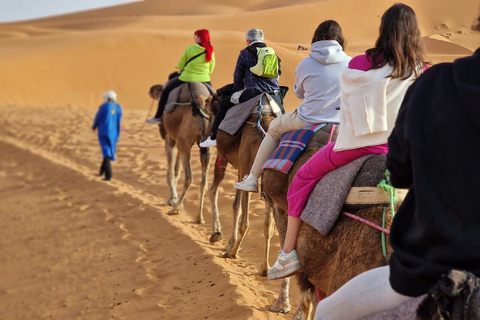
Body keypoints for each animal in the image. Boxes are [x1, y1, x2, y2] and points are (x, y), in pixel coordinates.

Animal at [148, 84, 212, 225]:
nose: (150, 91)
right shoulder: (177, 141)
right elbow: (177, 171)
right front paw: (173, 199)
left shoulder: (170, 139)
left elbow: (170, 173)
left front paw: (171, 200)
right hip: (207, 145)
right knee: (204, 181)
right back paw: (200, 218)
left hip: (184, 144)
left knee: (189, 178)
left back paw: (175, 209)